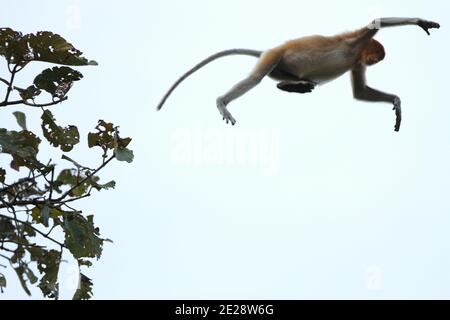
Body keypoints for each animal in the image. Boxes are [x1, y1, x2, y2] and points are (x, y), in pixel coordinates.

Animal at [156, 17, 438, 131]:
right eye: (376, 56)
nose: (373, 61)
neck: (358, 53)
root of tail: (268, 50)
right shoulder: (356, 43)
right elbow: (375, 23)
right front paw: (421, 22)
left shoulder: (357, 61)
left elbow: (360, 92)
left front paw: (397, 103)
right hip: (273, 56)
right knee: (255, 79)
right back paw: (222, 102)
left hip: (279, 65)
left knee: (288, 80)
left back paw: (296, 86)